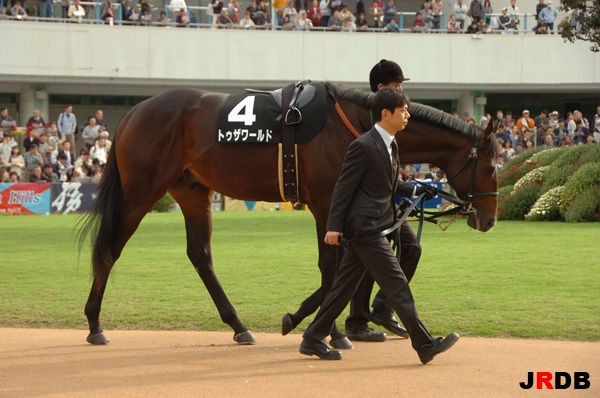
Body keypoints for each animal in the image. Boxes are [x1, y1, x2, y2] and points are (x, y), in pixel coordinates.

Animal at [79, 83, 502, 346]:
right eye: (490, 166)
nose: (488, 218)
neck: (355, 124)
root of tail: (134, 111)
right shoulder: (327, 202)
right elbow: (332, 267)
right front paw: (321, 328)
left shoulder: (339, 205)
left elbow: (345, 265)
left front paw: (323, 325)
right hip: (140, 193)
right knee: (109, 250)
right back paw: (95, 324)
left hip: (192, 191)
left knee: (200, 255)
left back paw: (238, 326)